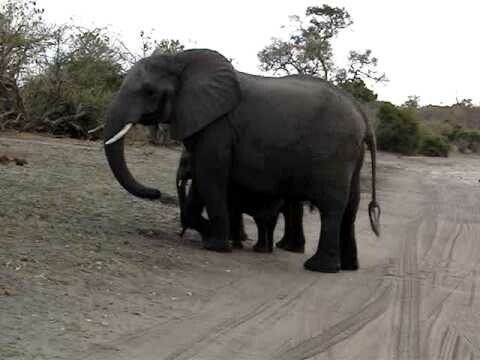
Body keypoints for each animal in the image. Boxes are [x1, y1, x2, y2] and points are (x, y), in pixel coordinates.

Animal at [103, 48, 380, 272]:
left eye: (149, 92)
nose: (156, 192)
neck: (181, 60)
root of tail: (363, 118)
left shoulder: (218, 126)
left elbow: (210, 177)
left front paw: (216, 245)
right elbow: (202, 180)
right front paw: (214, 237)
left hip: (334, 153)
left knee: (332, 206)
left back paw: (319, 267)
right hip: (352, 156)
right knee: (351, 206)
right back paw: (348, 267)